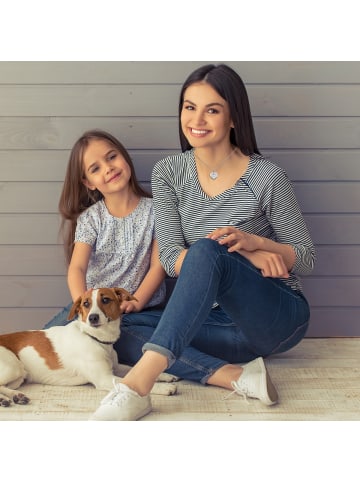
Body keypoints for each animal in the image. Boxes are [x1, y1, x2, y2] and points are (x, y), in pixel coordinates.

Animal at [0, 286, 179, 406]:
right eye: (86, 304)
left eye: (105, 300)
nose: (93, 317)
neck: (96, 339)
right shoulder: (104, 379)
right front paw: (164, 388)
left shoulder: (115, 367)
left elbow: (133, 368)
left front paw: (166, 376)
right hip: (13, 367)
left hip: (19, 376)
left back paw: (15, 396)